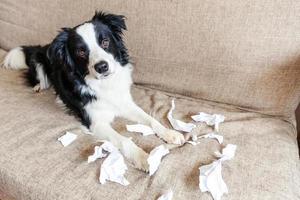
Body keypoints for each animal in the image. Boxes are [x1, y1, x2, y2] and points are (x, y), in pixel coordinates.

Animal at [3, 11, 184, 170]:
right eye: (81, 51)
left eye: (105, 42)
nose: (101, 66)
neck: (105, 84)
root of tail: (45, 47)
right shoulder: (96, 123)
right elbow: (123, 140)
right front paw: (144, 158)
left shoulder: (125, 103)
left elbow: (150, 119)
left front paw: (170, 134)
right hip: (40, 62)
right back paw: (39, 86)